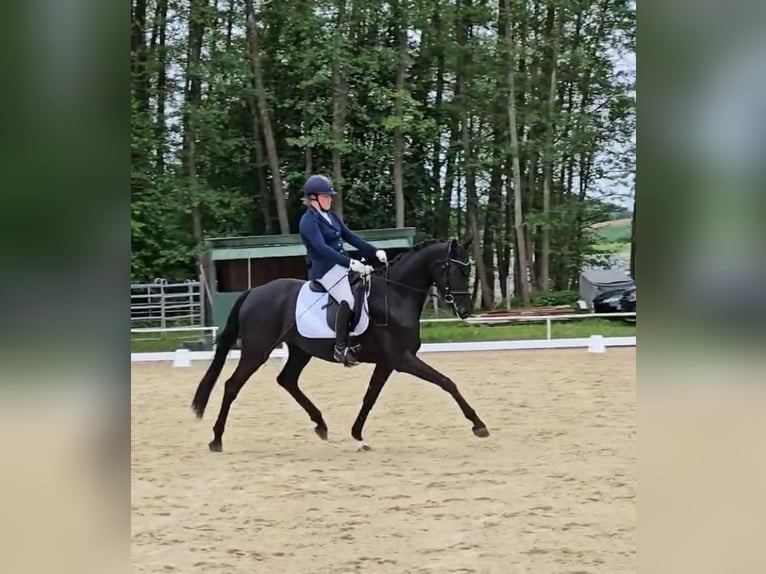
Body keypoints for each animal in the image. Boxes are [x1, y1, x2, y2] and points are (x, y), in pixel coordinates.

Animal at [190, 237, 490, 452]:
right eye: (455, 269)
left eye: (467, 269)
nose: (464, 310)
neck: (396, 295)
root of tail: (254, 292)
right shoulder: (402, 359)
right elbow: (446, 382)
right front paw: (478, 425)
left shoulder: (387, 362)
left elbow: (370, 396)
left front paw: (358, 435)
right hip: (256, 351)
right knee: (232, 385)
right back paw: (216, 440)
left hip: (300, 350)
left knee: (287, 380)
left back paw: (321, 425)